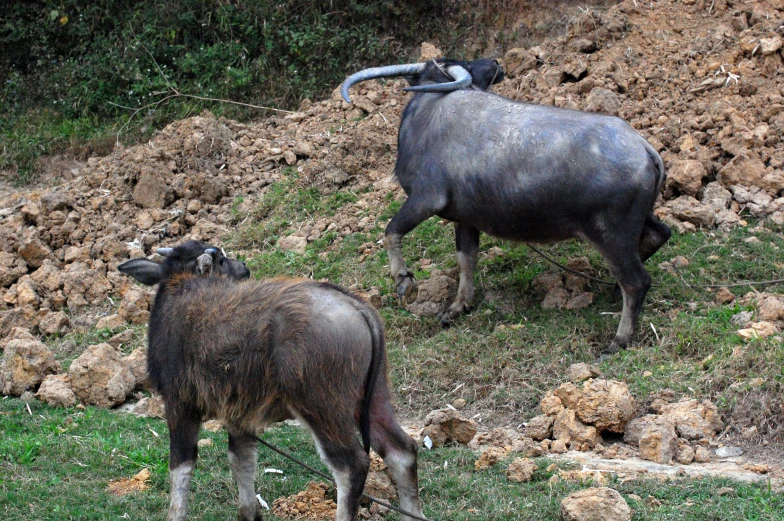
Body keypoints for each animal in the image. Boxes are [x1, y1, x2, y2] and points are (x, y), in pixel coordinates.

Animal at [117, 242, 422, 520]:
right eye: (222, 259)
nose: (244, 267)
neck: (182, 290)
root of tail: (357, 306)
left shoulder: (180, 406)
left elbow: (181, 467)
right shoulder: (239, 416)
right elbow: (241, 461)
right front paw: (249, 514)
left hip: (323, 407)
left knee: (351, 467)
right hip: (374, 398)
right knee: (402, 451)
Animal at [340, 58, 672, 358]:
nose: (496, 64)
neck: (428, 113)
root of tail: (643, 148)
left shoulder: (426, 199)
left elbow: (391, 231)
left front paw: (403, 280)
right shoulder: (465, 219)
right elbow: (466, 260)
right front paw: (457, 307)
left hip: (610, 233)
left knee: (637, 282)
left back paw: (618, 340)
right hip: (637, 220)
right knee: (659, 235)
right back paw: (612, 291)